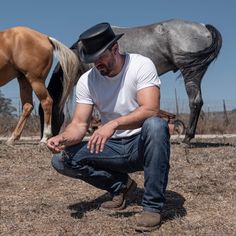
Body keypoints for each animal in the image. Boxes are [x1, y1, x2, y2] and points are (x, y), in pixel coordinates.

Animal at [38, 18, 221, 144]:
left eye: (44, 113)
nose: (44, 138)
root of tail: (203, 26)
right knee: (198, 102)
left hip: (190, 72)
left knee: (194, 102)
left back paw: (187, 139)